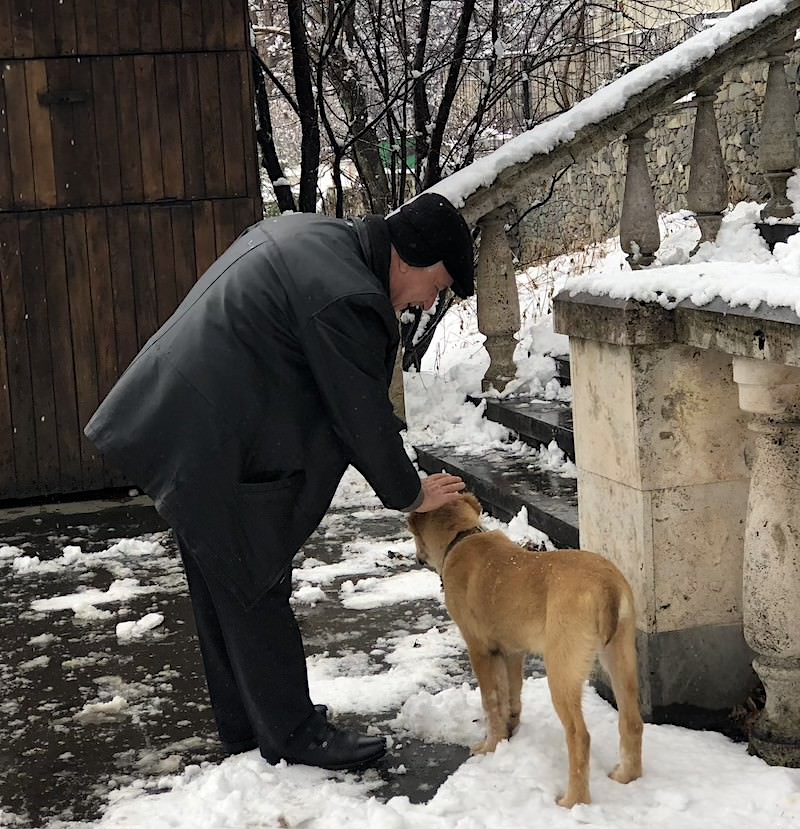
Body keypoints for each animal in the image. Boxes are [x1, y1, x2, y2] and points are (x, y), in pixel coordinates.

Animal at [410, 494, 640, 804]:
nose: (417, 557)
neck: (461, 537)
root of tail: (607, 586)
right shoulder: (511, 652)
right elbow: (511, 694)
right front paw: (510, 734)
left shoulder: (479, 649)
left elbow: (491, 700)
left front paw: (490, 747)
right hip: (621, 656)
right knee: (632, 720)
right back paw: (627, 776)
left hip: (562, 668)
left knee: (579, 735)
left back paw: (573, 801)